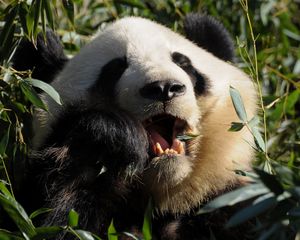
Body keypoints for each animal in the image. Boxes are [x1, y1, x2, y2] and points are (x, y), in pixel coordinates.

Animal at [12, 14, 256, 239]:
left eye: (183, 63)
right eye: (116, 68)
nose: (164, 87)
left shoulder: (229, 199)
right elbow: (54, 218)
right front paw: (114, 138)